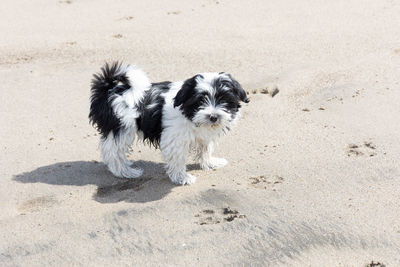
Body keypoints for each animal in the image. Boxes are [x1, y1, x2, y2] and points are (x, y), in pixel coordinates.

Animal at [89, 62, 248, 185]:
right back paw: (125, 172)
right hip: (122, 127)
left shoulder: (203, 136)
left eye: (224, 99)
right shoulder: (174, 140)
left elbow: (205, 148)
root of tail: (109, 89)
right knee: (112, 151)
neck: (188, 112)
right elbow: (177, 159)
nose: (213, 116)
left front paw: (210, 163)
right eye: (200, 101)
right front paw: (182, 178)